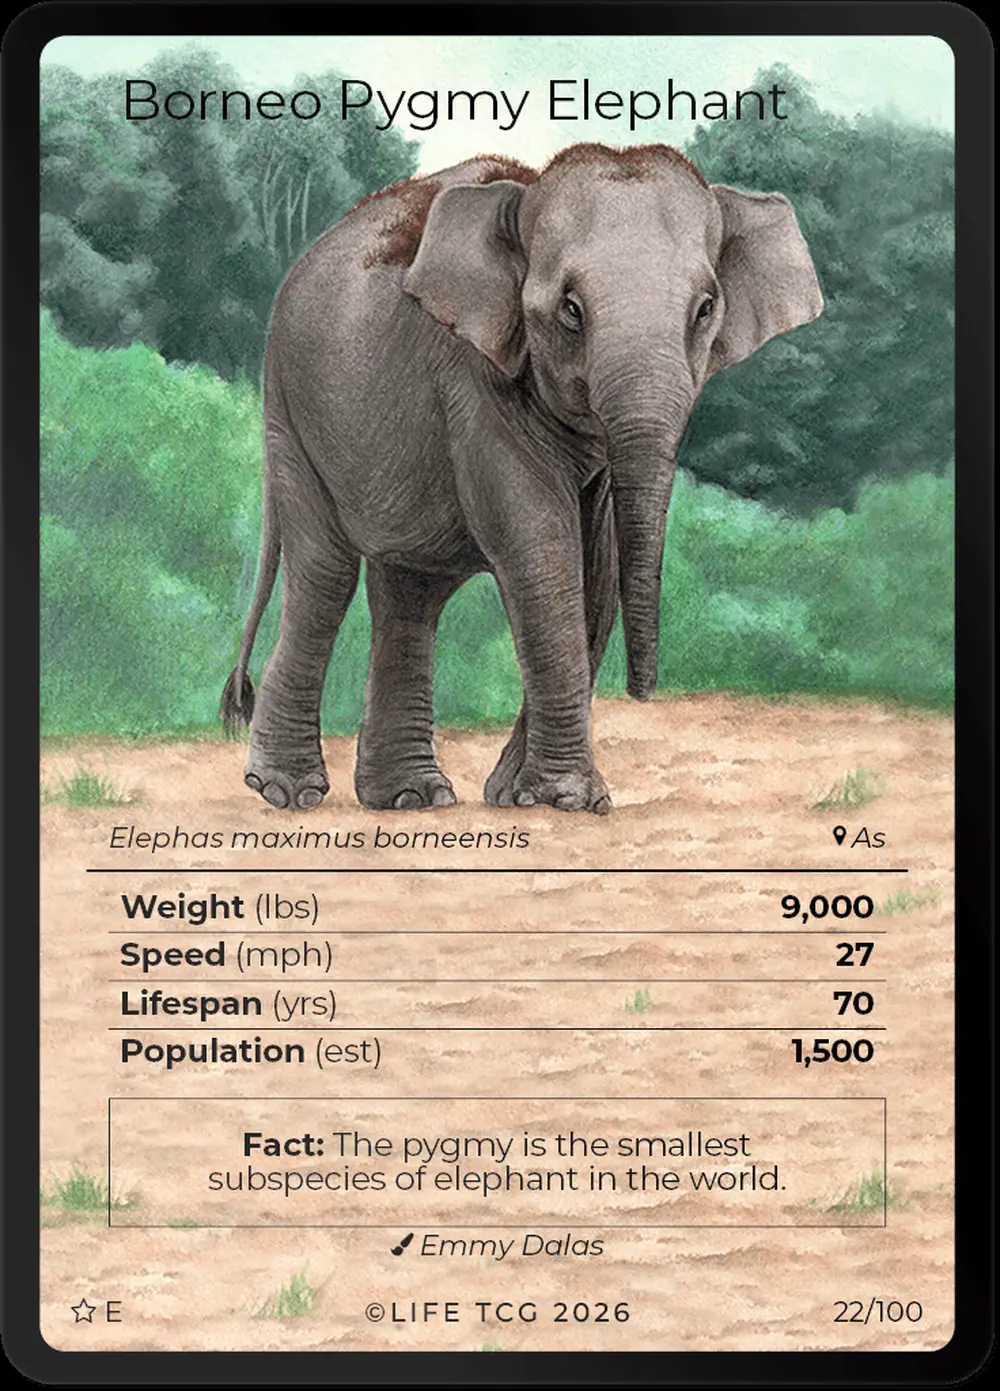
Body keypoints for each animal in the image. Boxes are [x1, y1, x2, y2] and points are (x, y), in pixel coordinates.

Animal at [222, 141, 822, 813]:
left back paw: (410, 798)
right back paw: (287, 792)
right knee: (325, 574)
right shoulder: (473, 377)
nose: (643, 693)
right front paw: (566, 800)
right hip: (292, 411)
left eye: (706, 309)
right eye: (571, 309)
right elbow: (541, 546)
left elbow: (596, 566)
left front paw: (524, 796)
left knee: (409, 591)